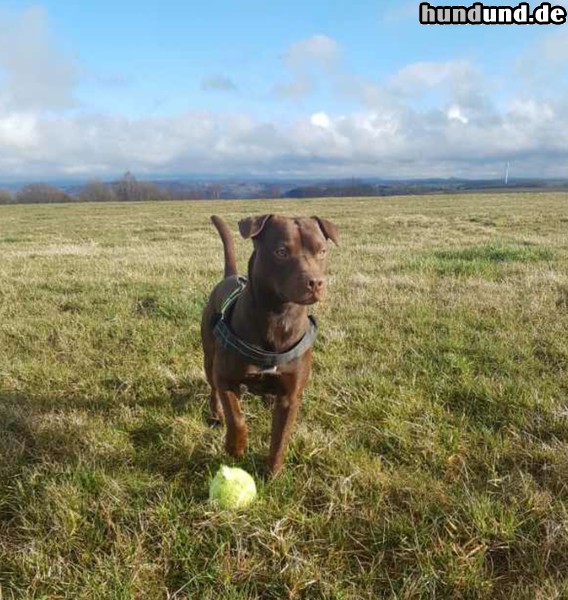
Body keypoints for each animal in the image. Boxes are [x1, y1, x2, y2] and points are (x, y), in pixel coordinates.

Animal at [201, 213, 338, 476]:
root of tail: (229, 277)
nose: (315, 283)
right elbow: (236, 416)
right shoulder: (226, 379)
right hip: (209, 358)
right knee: (213, 388)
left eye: (322, 251)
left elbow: (280, 436)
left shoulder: (291, 396)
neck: (279, 316)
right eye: (281, 252)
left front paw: (273, 472)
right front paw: (235, 446)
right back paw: (216, 413)